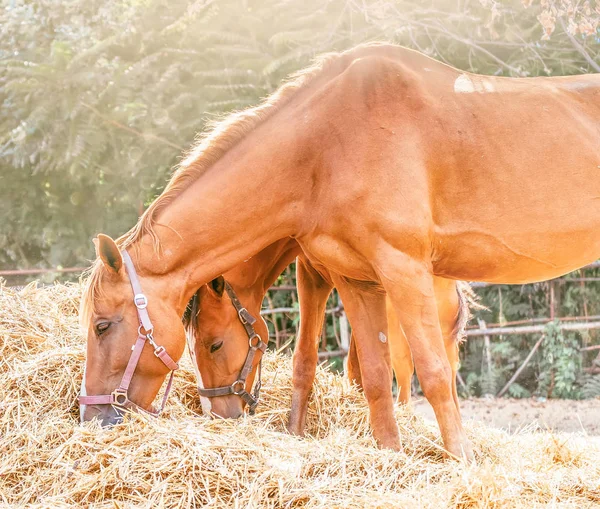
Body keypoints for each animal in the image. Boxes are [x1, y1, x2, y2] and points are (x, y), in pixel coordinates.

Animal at [183, 238, 474, 432]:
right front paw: (296, 430)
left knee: (433, 360)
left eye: (216, 345)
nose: (217, 415)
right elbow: (310, 360)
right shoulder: (313, 272)